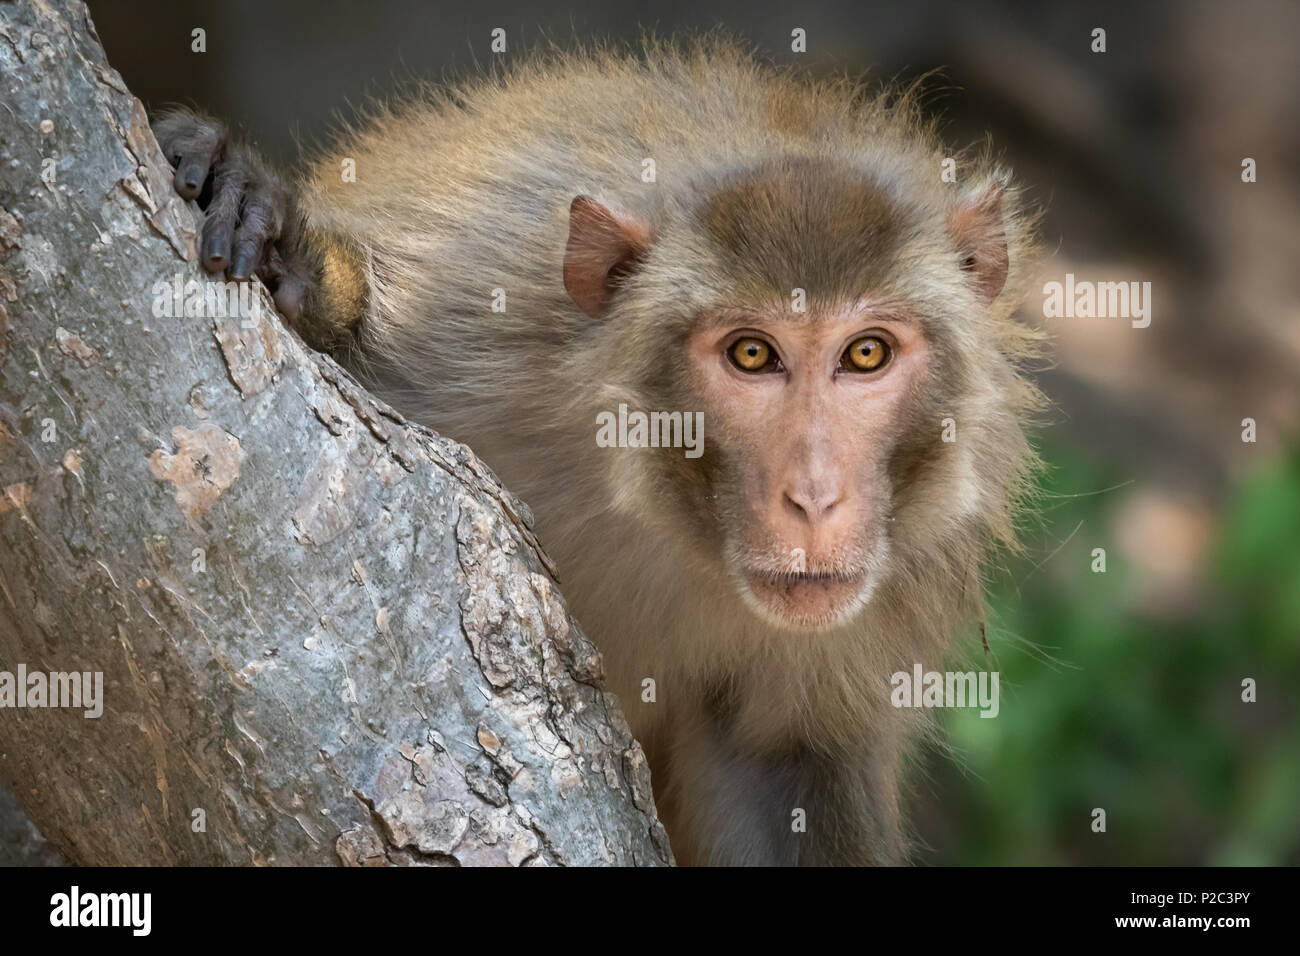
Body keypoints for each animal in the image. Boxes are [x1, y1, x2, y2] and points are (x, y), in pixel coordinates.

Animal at [154, 39, 1045, 868]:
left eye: (866, 354)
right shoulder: (470, 318)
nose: (815, 496)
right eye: (752, 354)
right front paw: (282, 243)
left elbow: (779, 768)